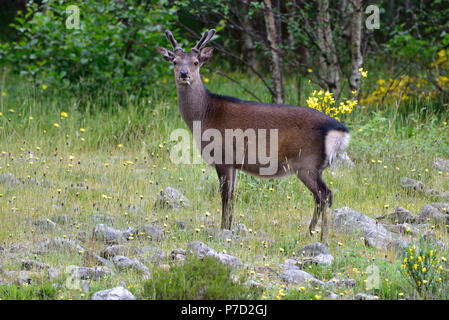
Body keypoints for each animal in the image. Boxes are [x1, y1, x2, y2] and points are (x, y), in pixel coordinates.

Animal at [156, 28, 348, 242]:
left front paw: (223, 229)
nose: (184, 74)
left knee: (326, 194)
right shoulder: (233, 163)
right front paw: (229, 227)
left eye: (196, 62)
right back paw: (311, 232)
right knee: (320, 196)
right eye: (174, 61)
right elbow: (232, 196)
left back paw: (322, 237)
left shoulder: (223, 156)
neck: (205, 115)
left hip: (307, 162)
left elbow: (225, 196)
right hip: (311, 166)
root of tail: (340, 130)